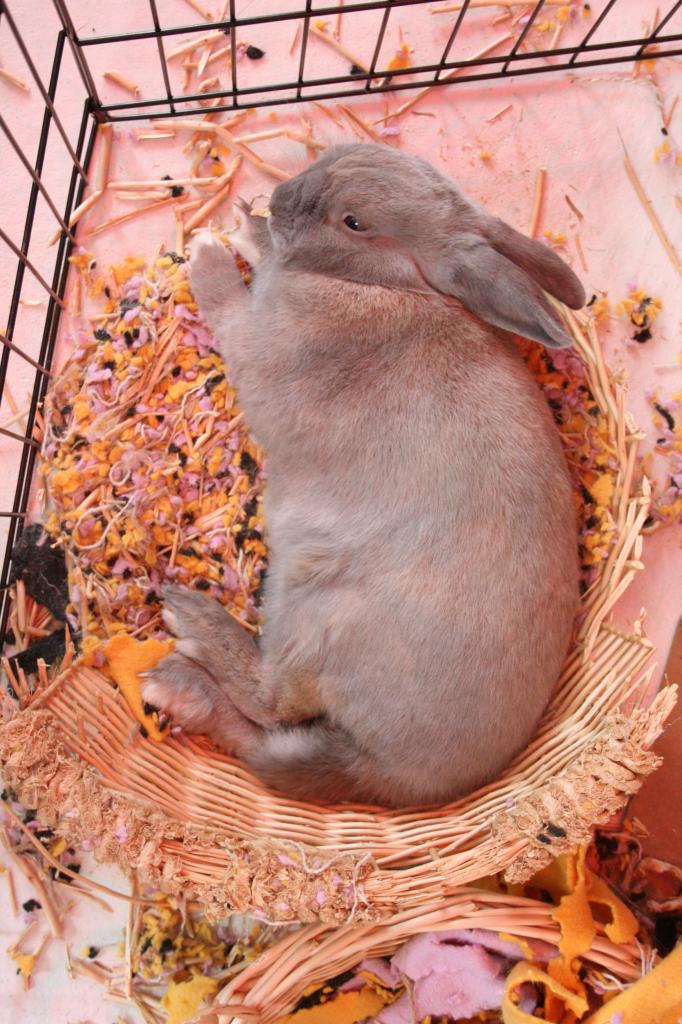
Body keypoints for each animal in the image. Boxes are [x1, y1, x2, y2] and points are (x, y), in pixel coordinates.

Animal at [142, 144, 577, 806]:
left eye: (354, 223)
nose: (280, 197)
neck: (376, 284)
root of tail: (391, 776)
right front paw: (245, 225)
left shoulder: (254, 337)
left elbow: (228, 304)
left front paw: (210, 250)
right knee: (263, 740)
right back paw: (184, 691)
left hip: (322, 613)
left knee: (273, 702)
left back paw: (186, 630)